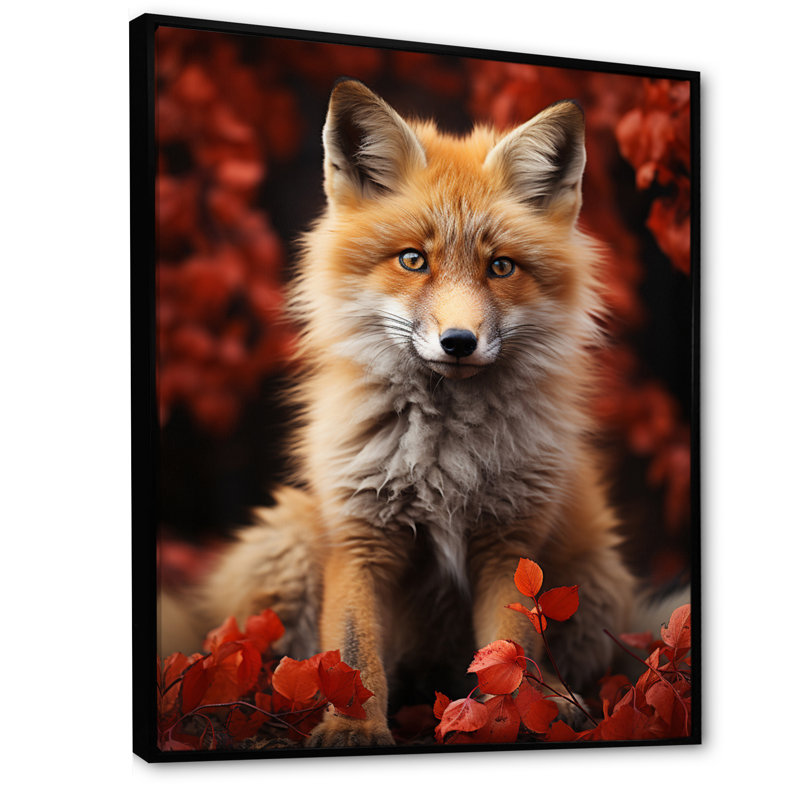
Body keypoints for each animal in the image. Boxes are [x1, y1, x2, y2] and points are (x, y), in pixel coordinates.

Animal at [161, 78, 637, 748]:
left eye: (501, 266)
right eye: (414, 260)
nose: (459, 342)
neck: (445, 455)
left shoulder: (509, 545)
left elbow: (512, 649)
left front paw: (512, 718)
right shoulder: (362, 536)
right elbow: (352, 653)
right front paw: (352, 726)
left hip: (598, 578)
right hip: (287, 539)